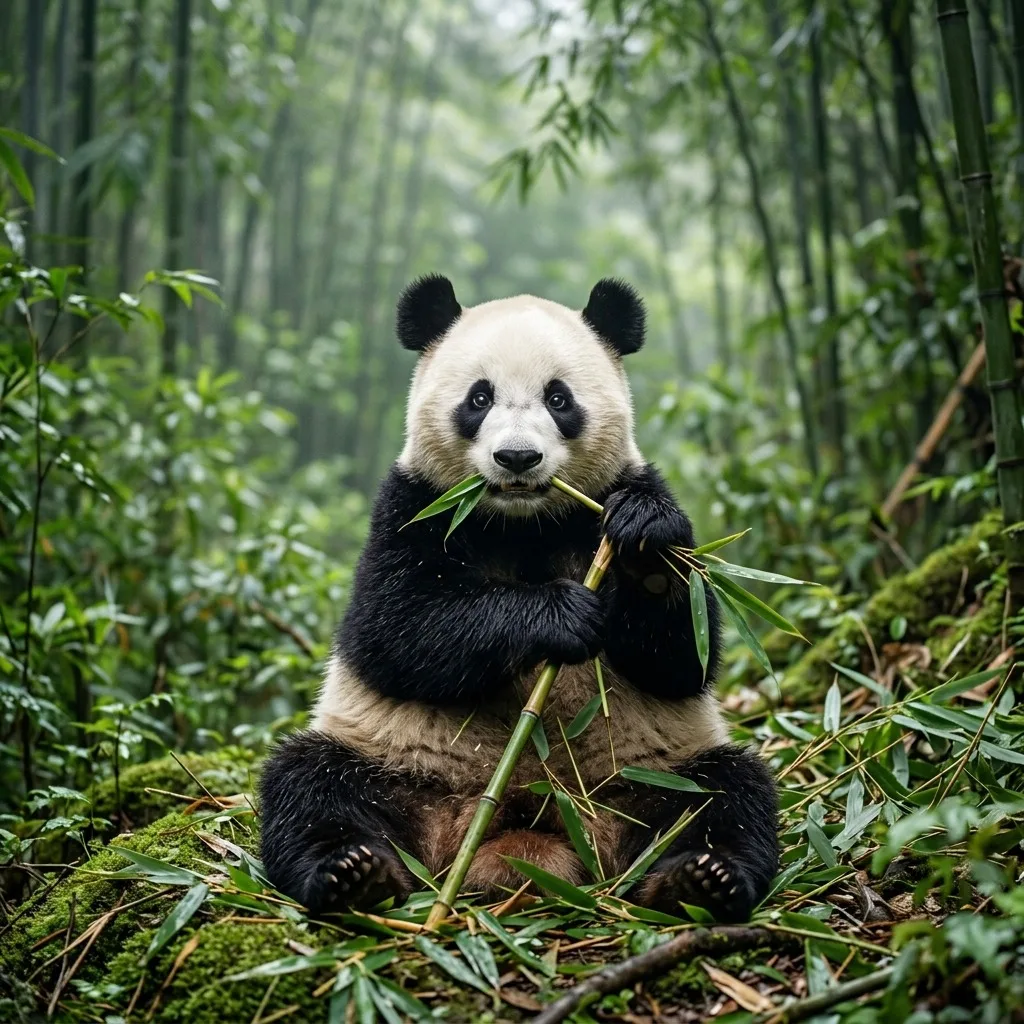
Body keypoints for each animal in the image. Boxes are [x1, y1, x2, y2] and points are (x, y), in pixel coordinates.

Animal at [259, 275, 778, 921]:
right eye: (479, 398)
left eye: (559, 399)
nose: (517, 458)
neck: (525, 521)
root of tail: (521, 831)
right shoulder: (413, 506)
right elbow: (394, 630)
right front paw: (561, 614)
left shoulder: (620, 492)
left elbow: (683, 657)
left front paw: (645, 539)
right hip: (394, 763)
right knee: (310, 785)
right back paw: (355, 873)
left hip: (644, 777)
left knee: (723, 795)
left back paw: (699, 880)